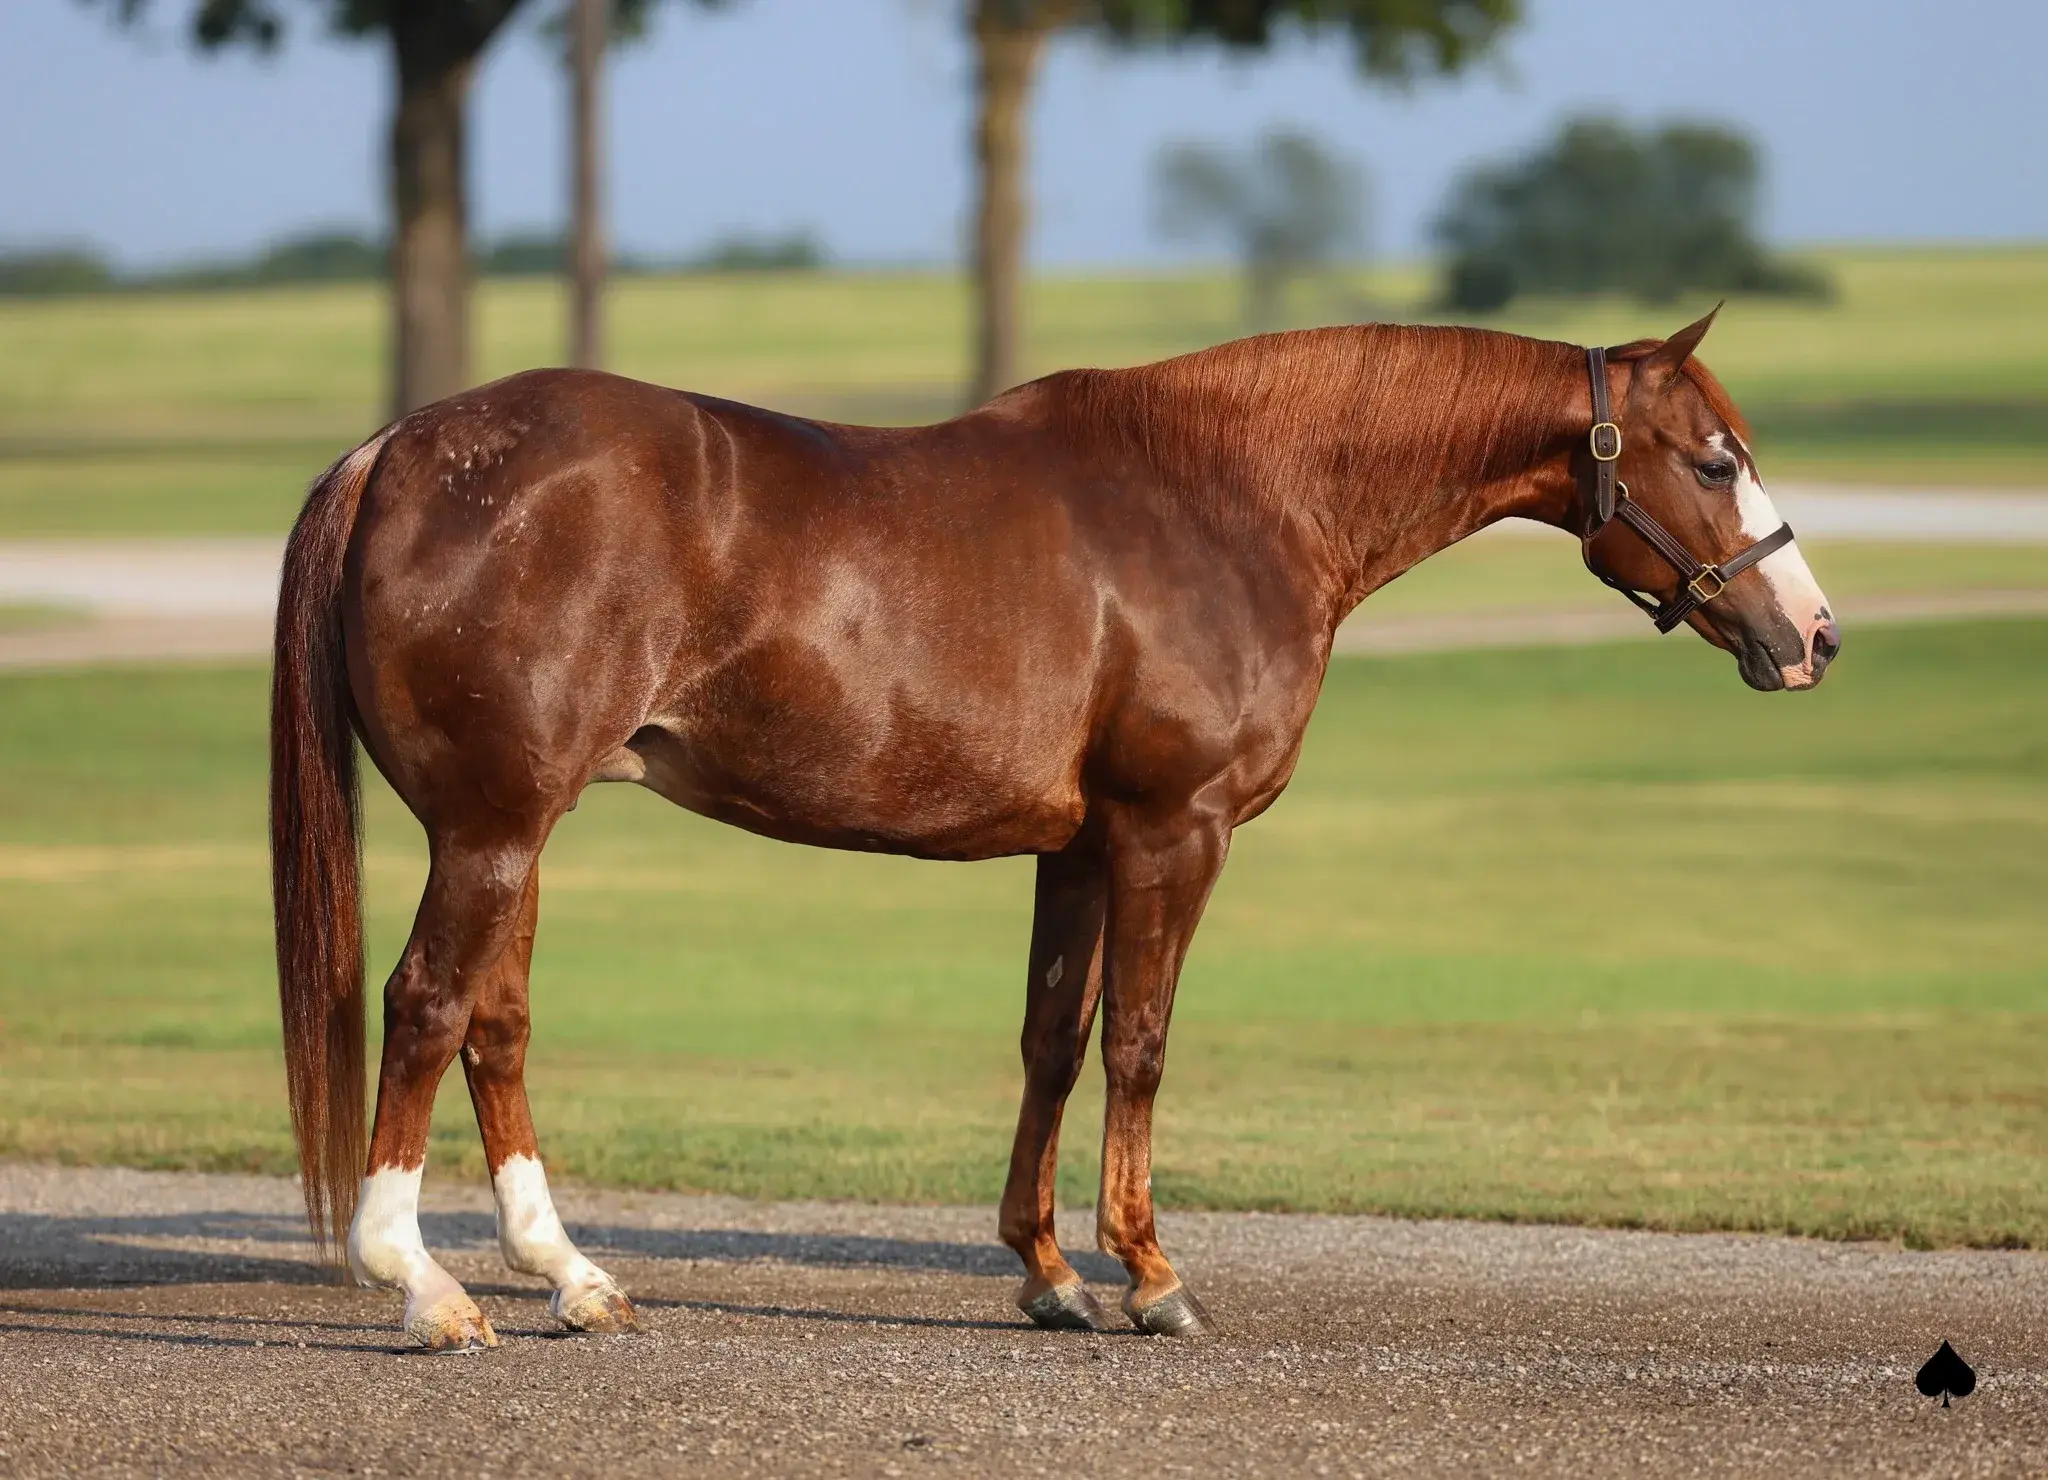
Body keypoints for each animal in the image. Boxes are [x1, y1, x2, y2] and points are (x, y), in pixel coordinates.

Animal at [270, 307, 1838, 1351]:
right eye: (1714, 460)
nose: (1812, 635)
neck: (1230, 499)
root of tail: (397, 450)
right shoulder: (1171, 834)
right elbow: (1139, 1043)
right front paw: (1148, 1273)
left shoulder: (1077, 848)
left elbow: (1052, 1040)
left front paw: (1047, 1273)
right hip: (491, 829)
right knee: (426, 1005)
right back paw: (419, 1283)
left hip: (517, 831)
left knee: (495, 1024)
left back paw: (573, 1279)